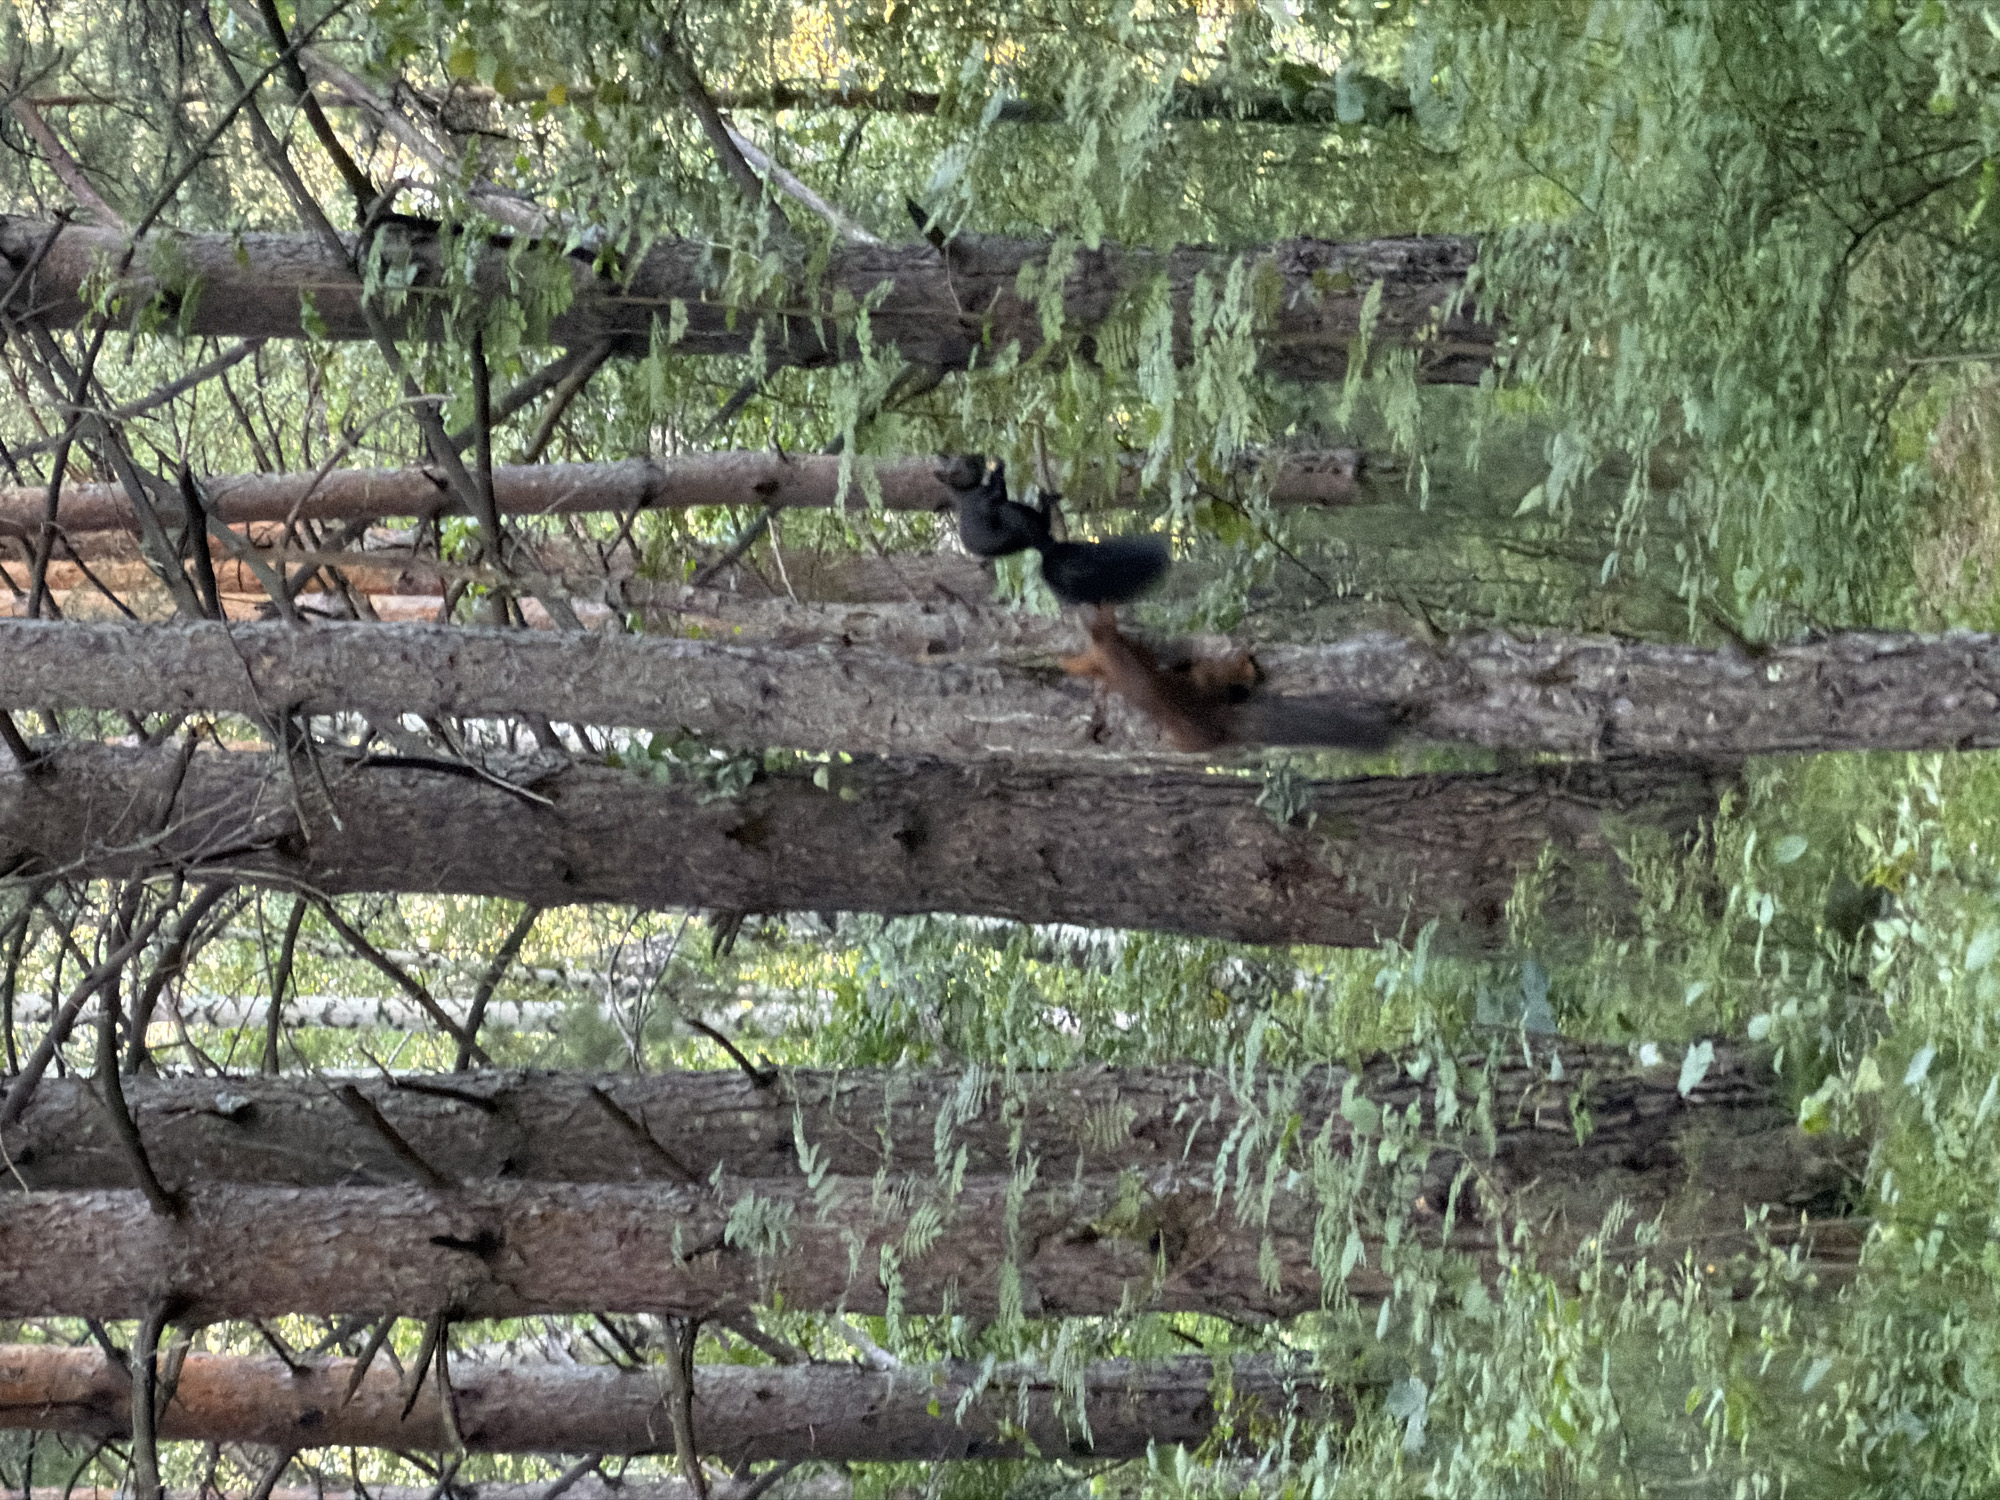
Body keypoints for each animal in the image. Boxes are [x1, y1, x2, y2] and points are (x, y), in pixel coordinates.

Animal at [938, 456, 1170, 606]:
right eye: (962, 466)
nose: (977, 456)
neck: (964, 493)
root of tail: (1046, 547)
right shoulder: (984, 499)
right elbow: (997, 489)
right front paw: (999, 465)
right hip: (1015, 519)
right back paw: (1047, 504)